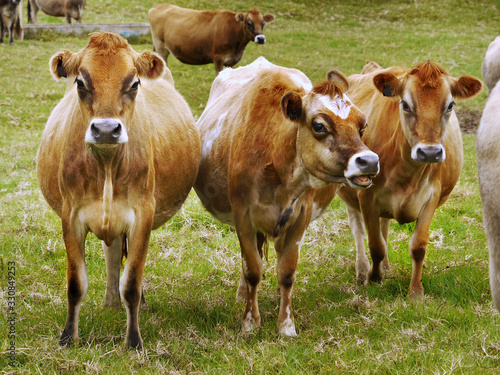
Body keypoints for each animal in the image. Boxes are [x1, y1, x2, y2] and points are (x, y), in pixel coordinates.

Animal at [36, 32, 201, 350]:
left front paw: (133, 340)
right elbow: (76, 284)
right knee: (112, 254)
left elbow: (132, 282)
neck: (107, 164)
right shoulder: (70, 217)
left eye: (134, 83)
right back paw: (110, 302)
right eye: (80, 82)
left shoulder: (142, 216)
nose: (105, 129)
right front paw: (68, 336)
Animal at [146, 3, 276, 75]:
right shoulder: (218, 58)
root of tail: (158, 5)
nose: (261, 38)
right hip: (161, 46)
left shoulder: (231, 62)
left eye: (263, 23)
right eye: (249, 23)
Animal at [195, 57, 378, 336]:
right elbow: (252, 269)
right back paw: (243, 294)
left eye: (362, 125)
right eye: (319, 126)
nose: (369, 161)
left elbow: (287, 272)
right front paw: (250, 322)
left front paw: (286, 325)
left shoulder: (300, 216)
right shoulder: (242, 216)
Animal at [334, 60, 482, 298]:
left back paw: (386, 267)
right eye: (404, 104)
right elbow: (375, 245)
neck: (406, 172)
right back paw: (362, 271)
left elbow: (418, 246)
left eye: (450, 105)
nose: (430, 152)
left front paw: (415, 291)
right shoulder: (366, 196)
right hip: (350, 194)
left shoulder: (431, 197)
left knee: (384, 226)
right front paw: (374, 279)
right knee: (358, 230)